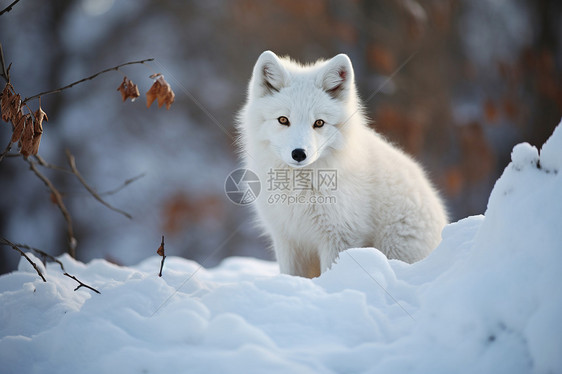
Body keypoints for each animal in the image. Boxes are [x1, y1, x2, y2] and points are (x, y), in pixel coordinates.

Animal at [235, 50, 446, 278]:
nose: (299, 153)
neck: (299, 189)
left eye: (319, 123)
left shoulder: (339, 237)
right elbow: (291, 275)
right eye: (283, 120)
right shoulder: (287, 238)